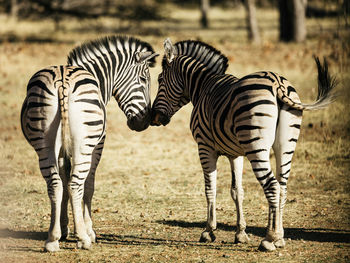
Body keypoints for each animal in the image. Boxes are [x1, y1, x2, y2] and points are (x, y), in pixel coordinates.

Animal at [21, 36, 158, 253]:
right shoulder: (98, 146)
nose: (144, 123)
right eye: (144, 80)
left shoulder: (63, 152)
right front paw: (88, 230)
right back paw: (83, 239)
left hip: (44, 145)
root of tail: (63, 82)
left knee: (55, 184)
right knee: (77, 183)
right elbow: (88, 186)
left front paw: (64, 228)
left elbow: (65, 183)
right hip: (84, 147)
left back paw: (52, 239)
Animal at [150, 38, 336, 253]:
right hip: (285, 145)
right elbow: (237, 191)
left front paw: (208, 231)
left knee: (272, 186)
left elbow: (210, 188)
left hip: (256, 146)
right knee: (282, 187)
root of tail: (277, 82)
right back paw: (280, 237)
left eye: (160, 80)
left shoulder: (205, 147)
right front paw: (240, 233)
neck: (202, 87)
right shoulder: (235, 153)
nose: (153, 118)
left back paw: (269, 239)